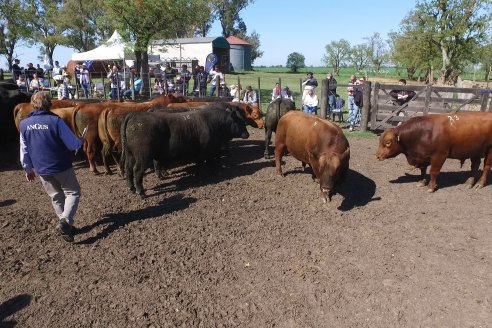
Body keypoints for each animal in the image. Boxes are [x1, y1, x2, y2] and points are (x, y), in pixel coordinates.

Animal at [119, 106, 250, 197]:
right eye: (240, 122)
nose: (247, 134)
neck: (212, 123)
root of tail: (134, 115)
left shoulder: (209, 150)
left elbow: (210, 161)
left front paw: (214, 172)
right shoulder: (203, 151)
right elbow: (201, 164)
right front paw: (200, 176)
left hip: (130, 155)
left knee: (128, 169)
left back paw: (131, 188)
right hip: (143, 156)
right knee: (137, 171)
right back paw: (141, 192)